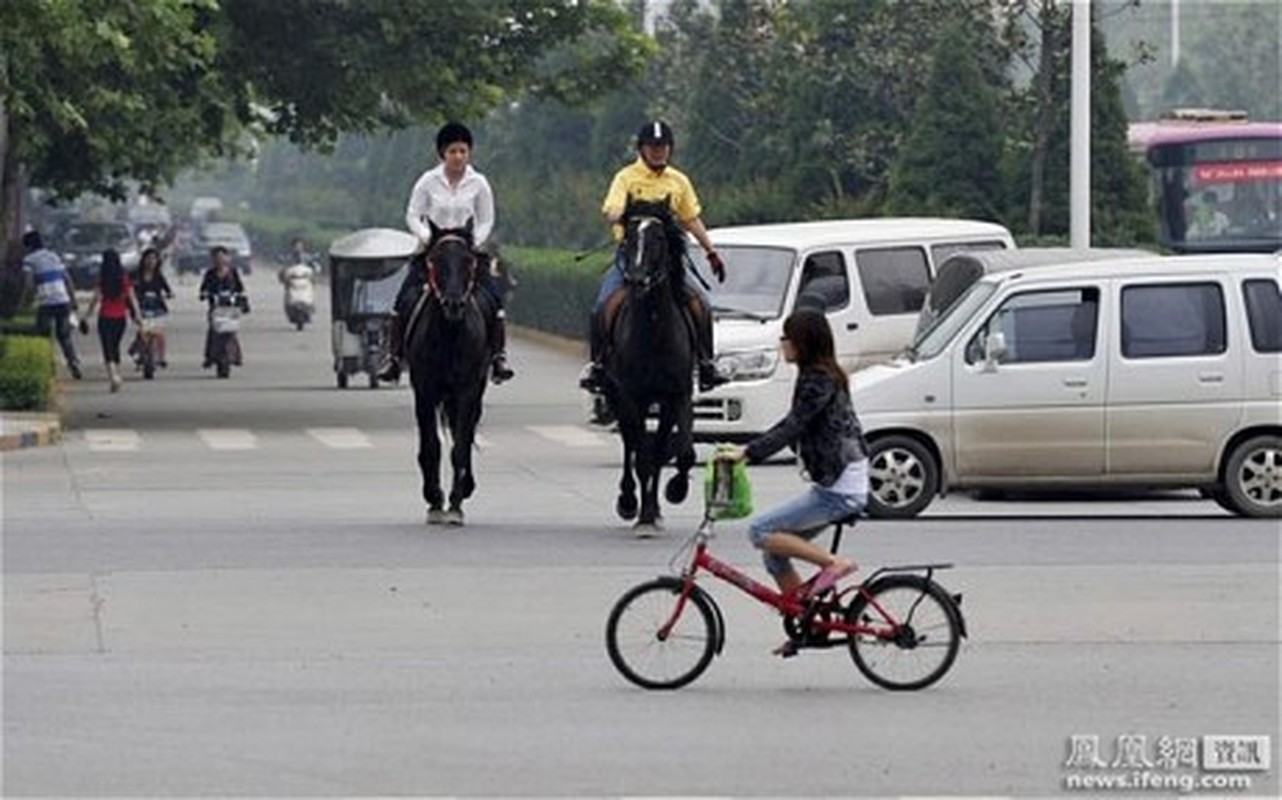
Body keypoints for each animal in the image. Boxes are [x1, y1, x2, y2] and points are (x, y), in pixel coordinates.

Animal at [405, 223, 489, 525]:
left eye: (468, 261)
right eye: (435, 261)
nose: (453, 304)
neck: (450, 335)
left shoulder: (467, 389)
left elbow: (461, 444)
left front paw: (455, 503)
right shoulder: (424, 389)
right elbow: (431, 446)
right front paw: (434, 499)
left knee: (467, 430)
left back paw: (466, 486)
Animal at [602, 200, 697, 538]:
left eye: (658, 239)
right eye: (629, 238)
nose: (637, 279)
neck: (654, 330)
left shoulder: (678, 395)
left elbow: (678, 452)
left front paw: (674, 492)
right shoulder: (631, 396)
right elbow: (641, 455)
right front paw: (641, 516)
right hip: (617, 396)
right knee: (630, 444)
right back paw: (629, 501)